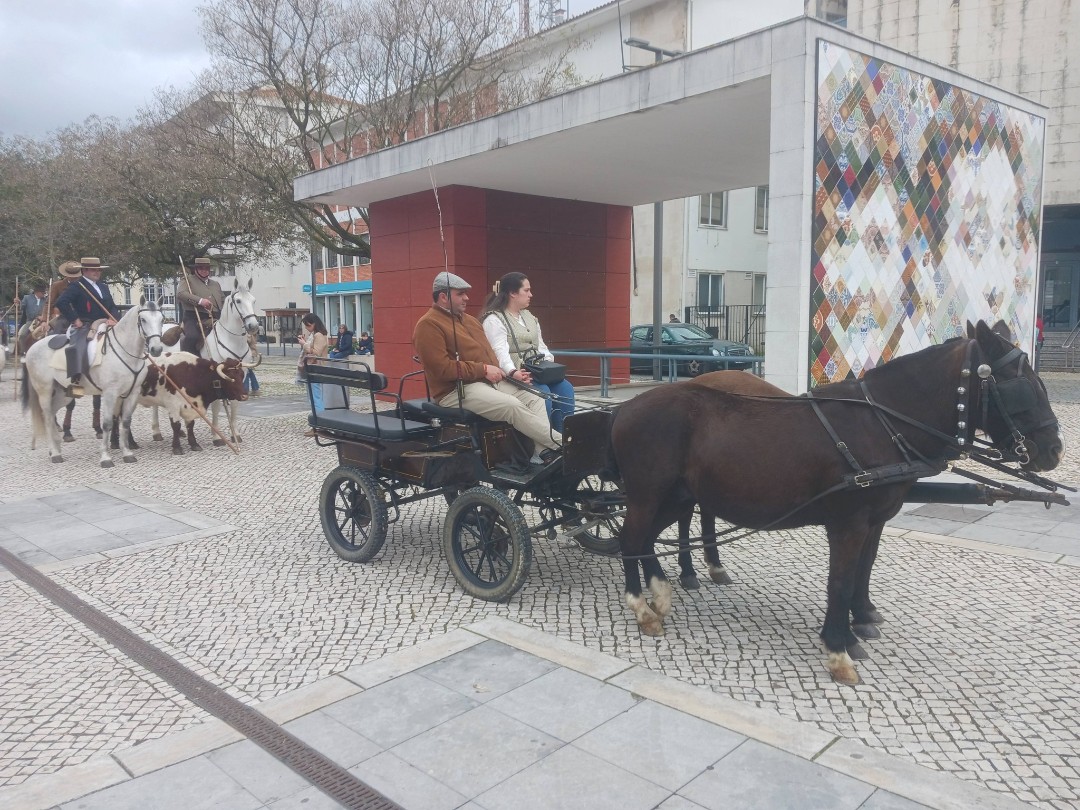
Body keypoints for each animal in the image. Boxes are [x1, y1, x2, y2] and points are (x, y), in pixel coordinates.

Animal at [21, 300, 165, 466]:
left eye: (162, 320)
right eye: (143, 320)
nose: (156, 349)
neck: (125, 351)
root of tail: (33, 346)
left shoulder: (132, 393)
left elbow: (126, 422)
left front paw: (127, 453)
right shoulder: (110, 393)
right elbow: (107, 423)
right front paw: (106, 457)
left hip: (63, 394)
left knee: (51, 413)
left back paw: (55, 449)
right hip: (44, 391)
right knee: (47, 416)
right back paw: (55, 454)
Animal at [610, 320, 1063, 685]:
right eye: (1020, 385)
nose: (1054, 449)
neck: (882, 424)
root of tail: (625, 409)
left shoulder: (875, 521)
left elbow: (862, 572)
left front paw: (857, 623)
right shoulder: (849, 523)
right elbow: (841, 582)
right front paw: (839, 648)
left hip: (674, 496)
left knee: (645, 538)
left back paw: (660, 593)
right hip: (649, 494)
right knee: (631, 539)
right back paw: (642, 608)